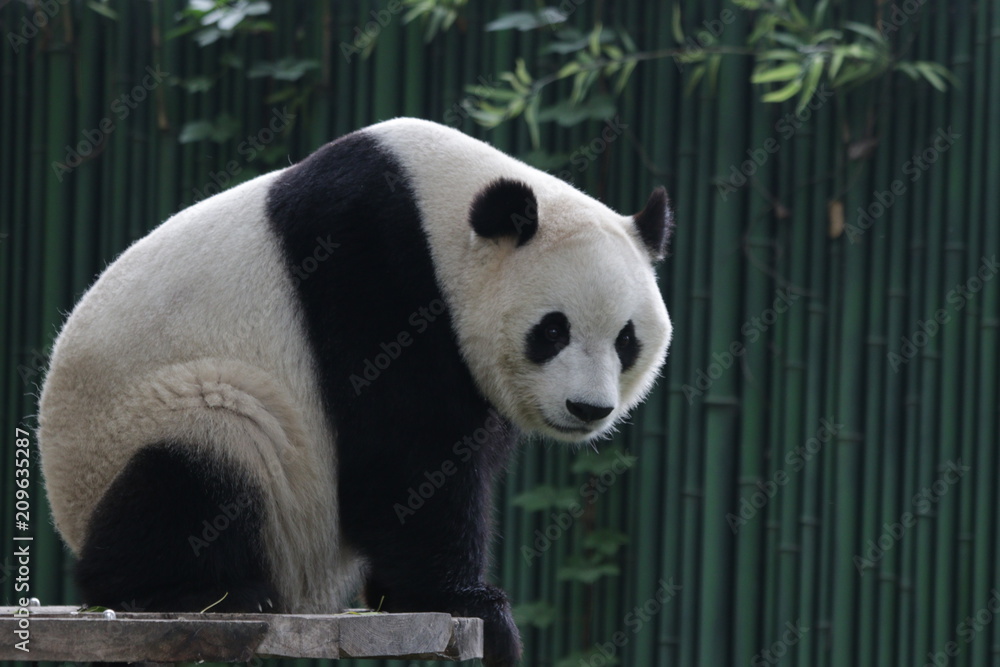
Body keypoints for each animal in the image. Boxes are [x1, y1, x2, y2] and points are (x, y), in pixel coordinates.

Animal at [37, 117, 673, 667]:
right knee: (208, 454)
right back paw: (201, 590)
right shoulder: (374, 270)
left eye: (626, 339)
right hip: (154, 417)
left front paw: (410, 595)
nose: (587, 408)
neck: (439, 213)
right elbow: (405, 451)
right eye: (553, 330)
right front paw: (477, 609)